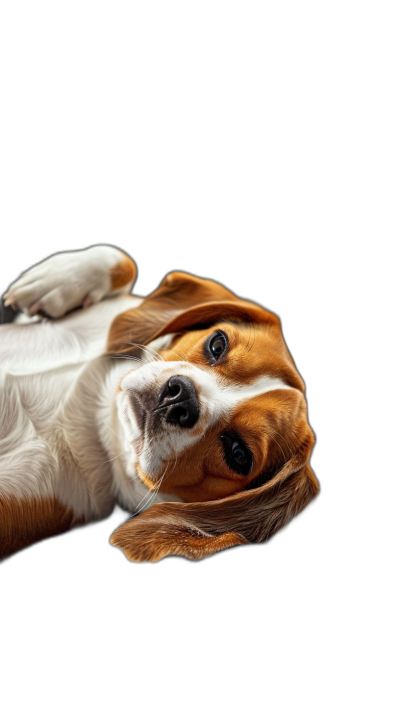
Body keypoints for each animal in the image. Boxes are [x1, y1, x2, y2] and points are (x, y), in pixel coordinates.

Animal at [0, 245, 318, 560]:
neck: (100, 412)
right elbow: (122, 259)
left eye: (238, 454)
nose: (181, 398)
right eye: (217, 344)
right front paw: (55, 280)